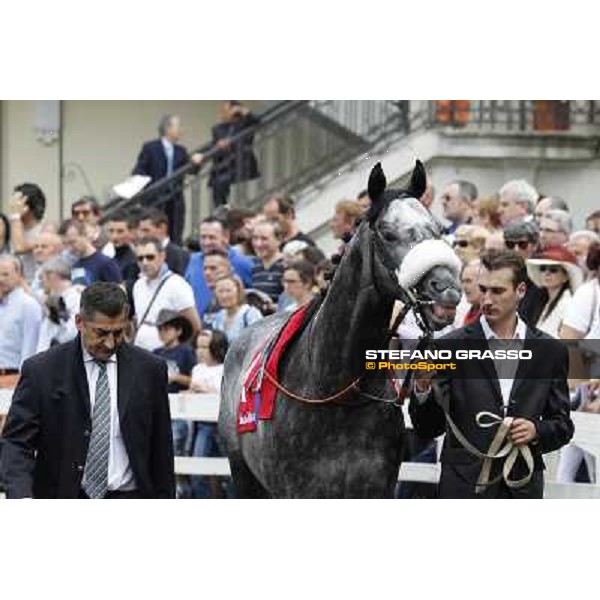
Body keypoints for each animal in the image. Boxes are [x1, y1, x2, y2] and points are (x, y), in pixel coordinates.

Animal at [218, 159, 462, 496]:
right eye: (388, 233)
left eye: (437, 229)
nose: (447, 291)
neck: (337, 391)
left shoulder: (376, 488)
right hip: (244, 476)